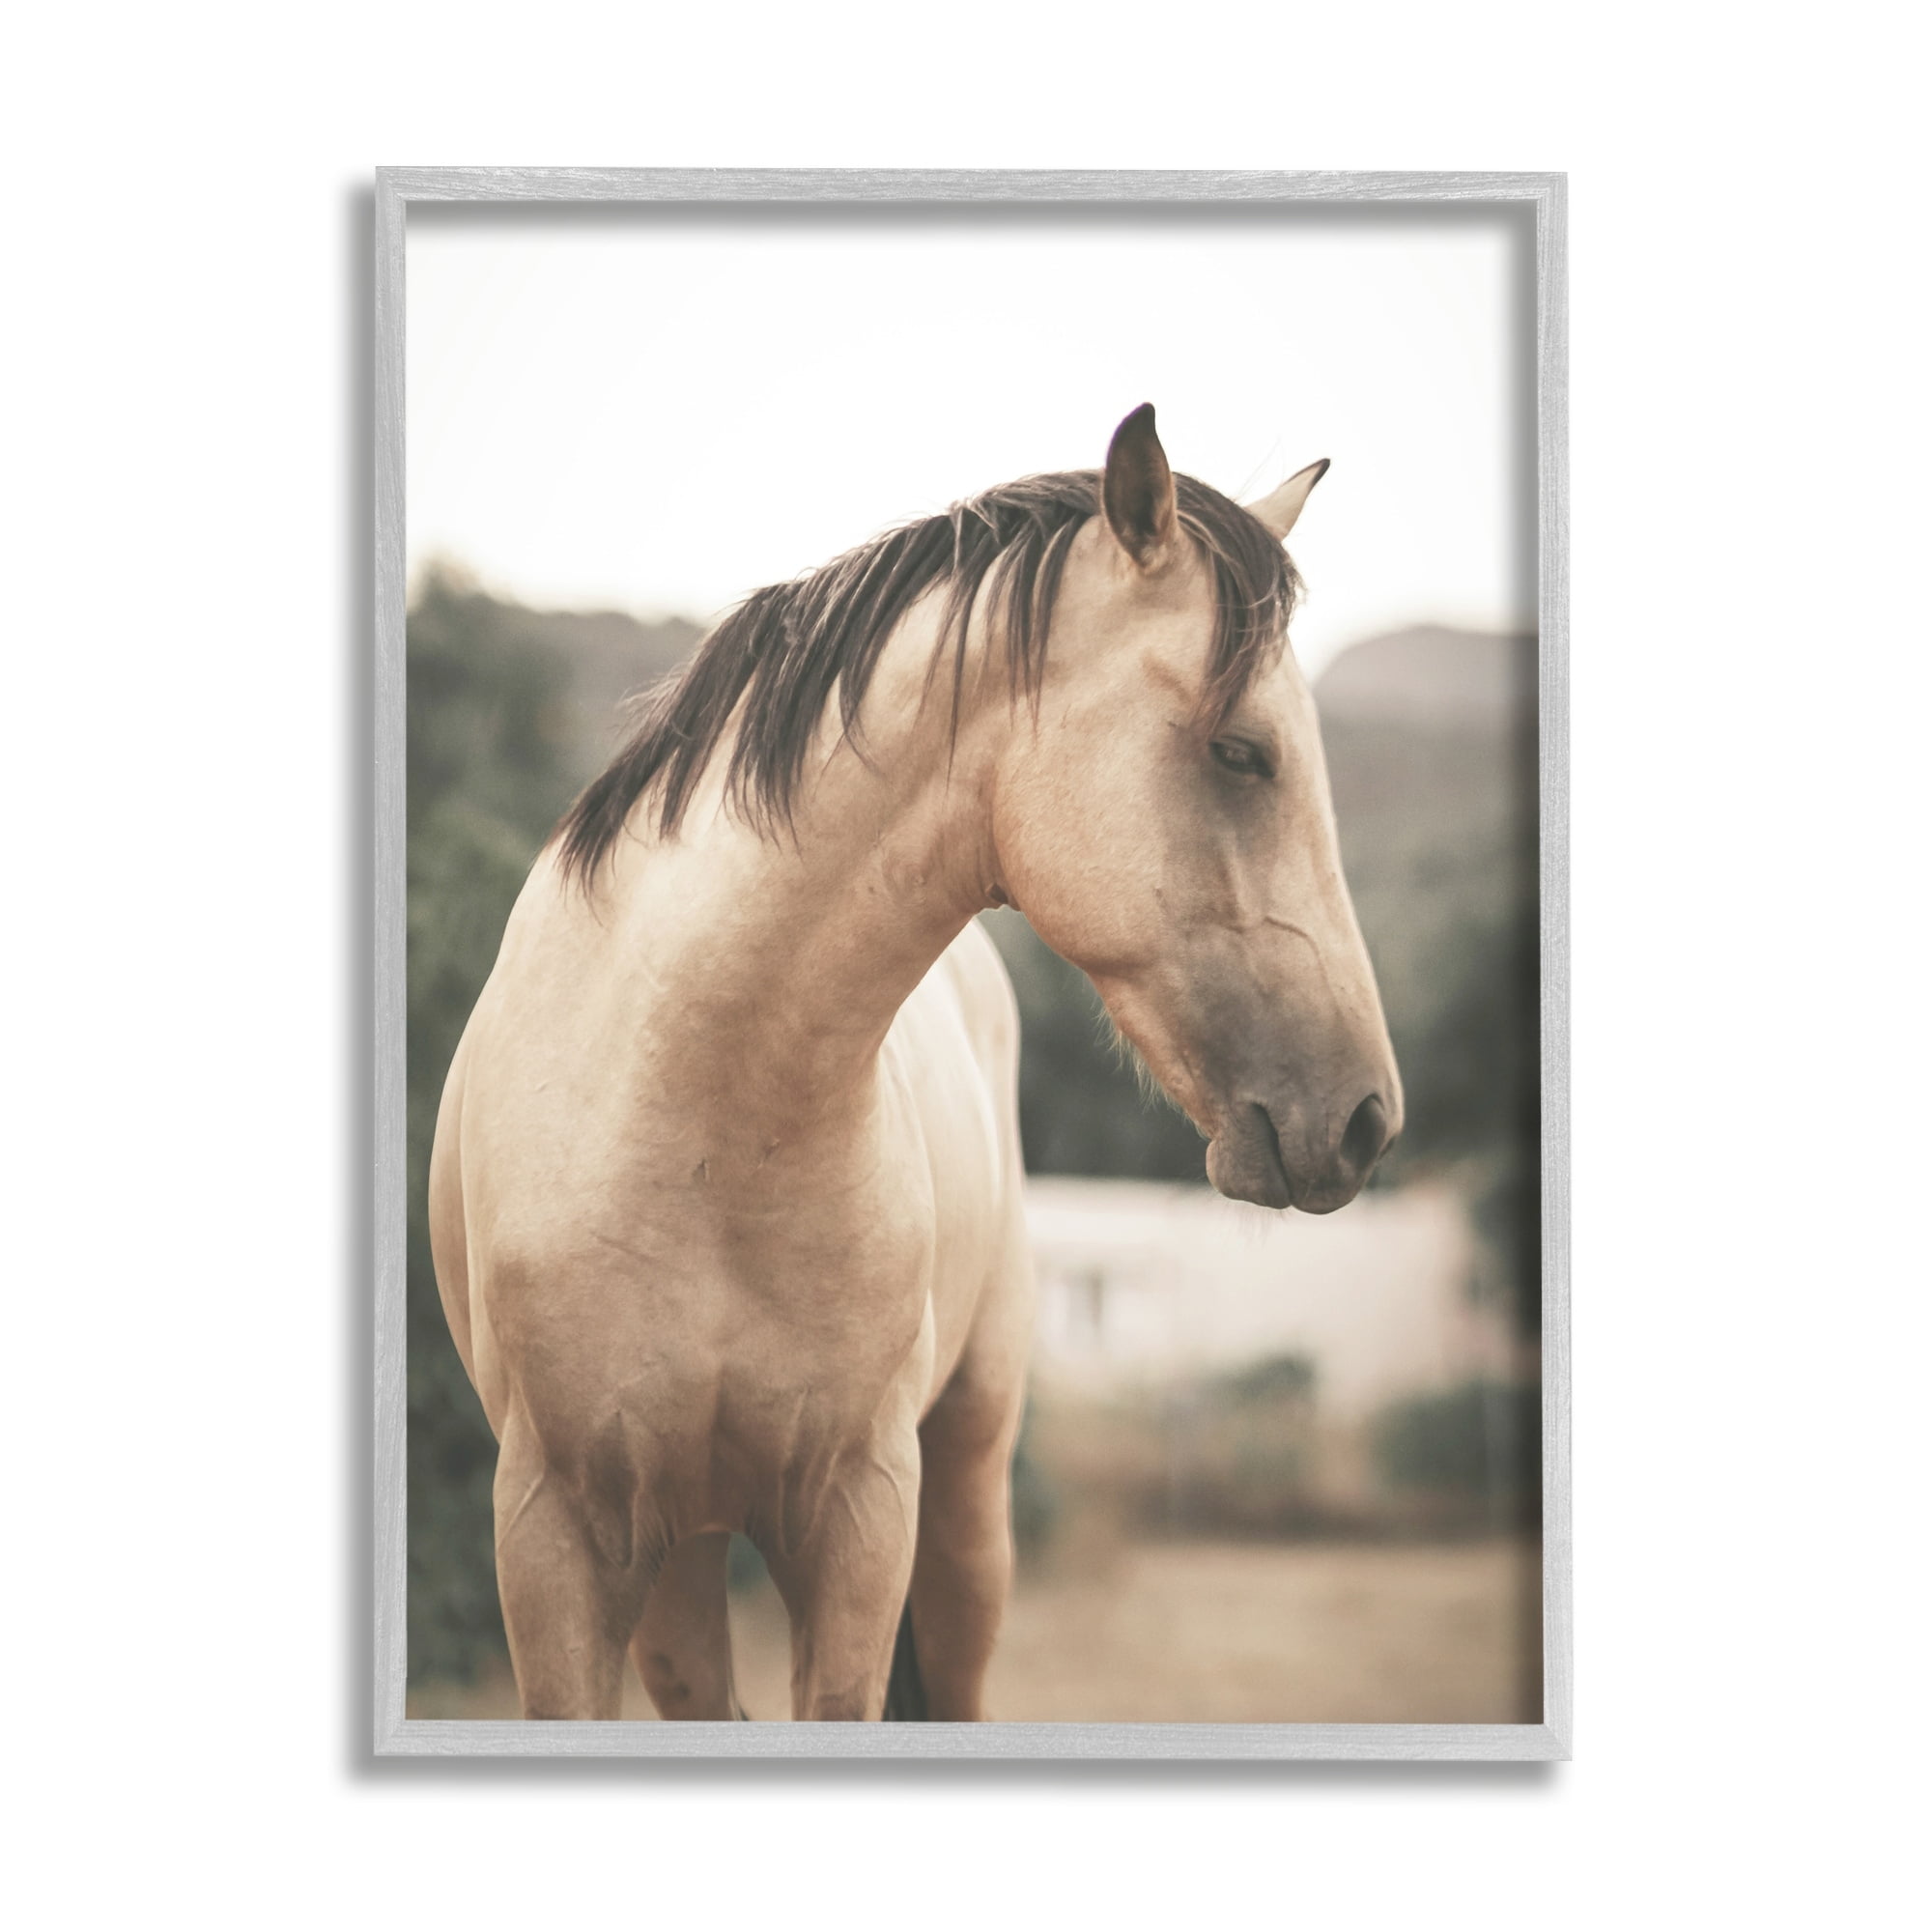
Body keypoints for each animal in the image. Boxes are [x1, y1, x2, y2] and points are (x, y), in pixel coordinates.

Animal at [427, 404, 1401, 1721]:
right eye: (1241, 752)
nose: (1362, 1118)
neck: (687, 1115)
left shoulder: (857, 1518)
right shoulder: (557, 1534)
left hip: (962, 1501)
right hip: (680, 1555)